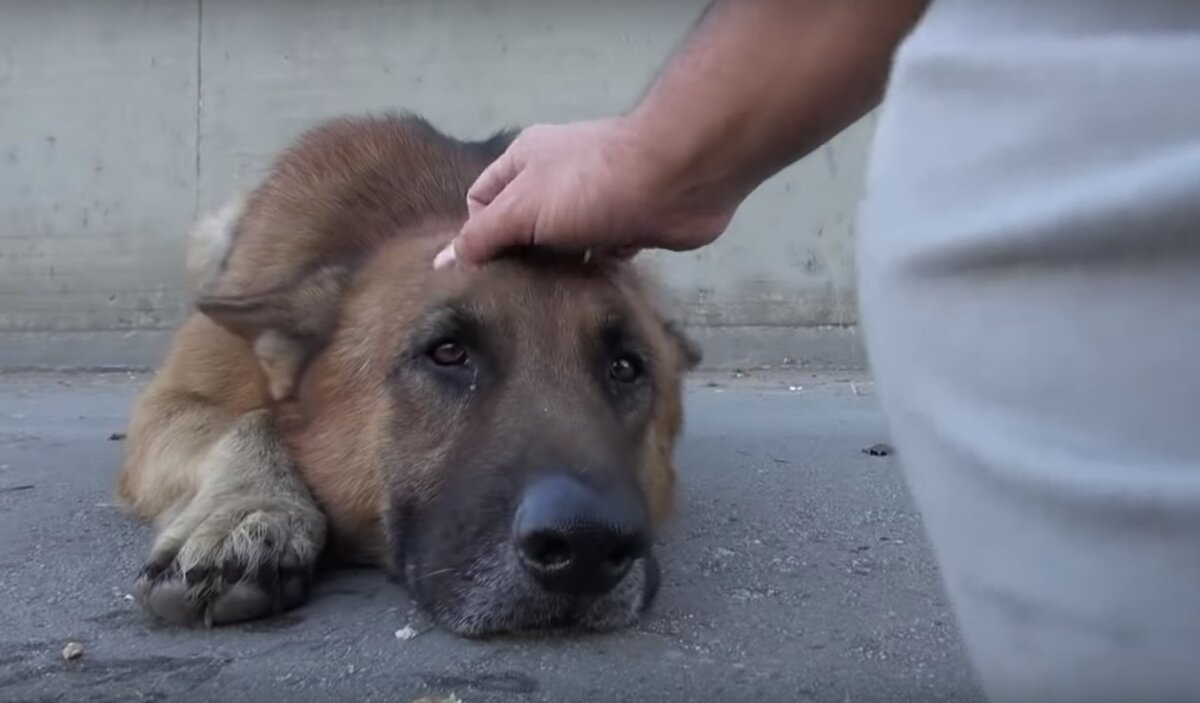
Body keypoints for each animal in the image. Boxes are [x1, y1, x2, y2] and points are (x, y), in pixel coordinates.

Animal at [117, 110, 700, 633]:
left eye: (625, 367)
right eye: (447, 353)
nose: (587, 543)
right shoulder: (172, 401)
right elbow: (247, 422)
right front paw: (251, 511)